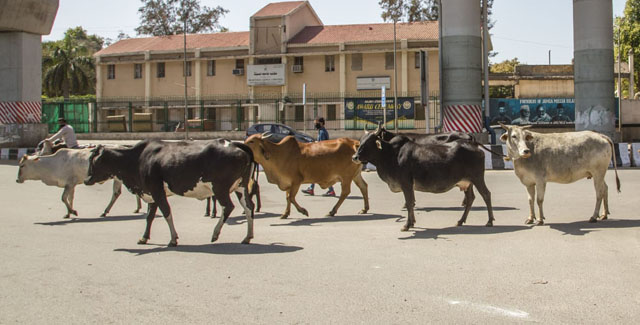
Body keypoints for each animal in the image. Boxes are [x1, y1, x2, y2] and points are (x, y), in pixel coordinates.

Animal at [84, 137, 256, 246]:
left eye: (95, 161)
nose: (86, 180)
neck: (138, 158)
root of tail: (235, 144)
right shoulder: (151, 193)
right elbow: (149, 217)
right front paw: (144, 238)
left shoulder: (156, 190)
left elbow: (166, 211)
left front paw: (173, 239)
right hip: (240, 186)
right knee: (249, 207)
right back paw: (247, 236)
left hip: (220, 188)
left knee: (228, 207)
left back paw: (215, 233)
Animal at [350, 126, 496, 230]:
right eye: (360, 141)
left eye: (368, 143)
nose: (354, 157)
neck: (391, 154)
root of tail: (474, 145)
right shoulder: (409, 185)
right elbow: (411, 202)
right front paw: (412, 223)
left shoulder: (406, 183)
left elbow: (409, 203)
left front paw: (407, 225)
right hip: (467, 182)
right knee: (471, 198)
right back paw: (460, 221)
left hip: (477, 178)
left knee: (486, 194)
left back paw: (489, 221)